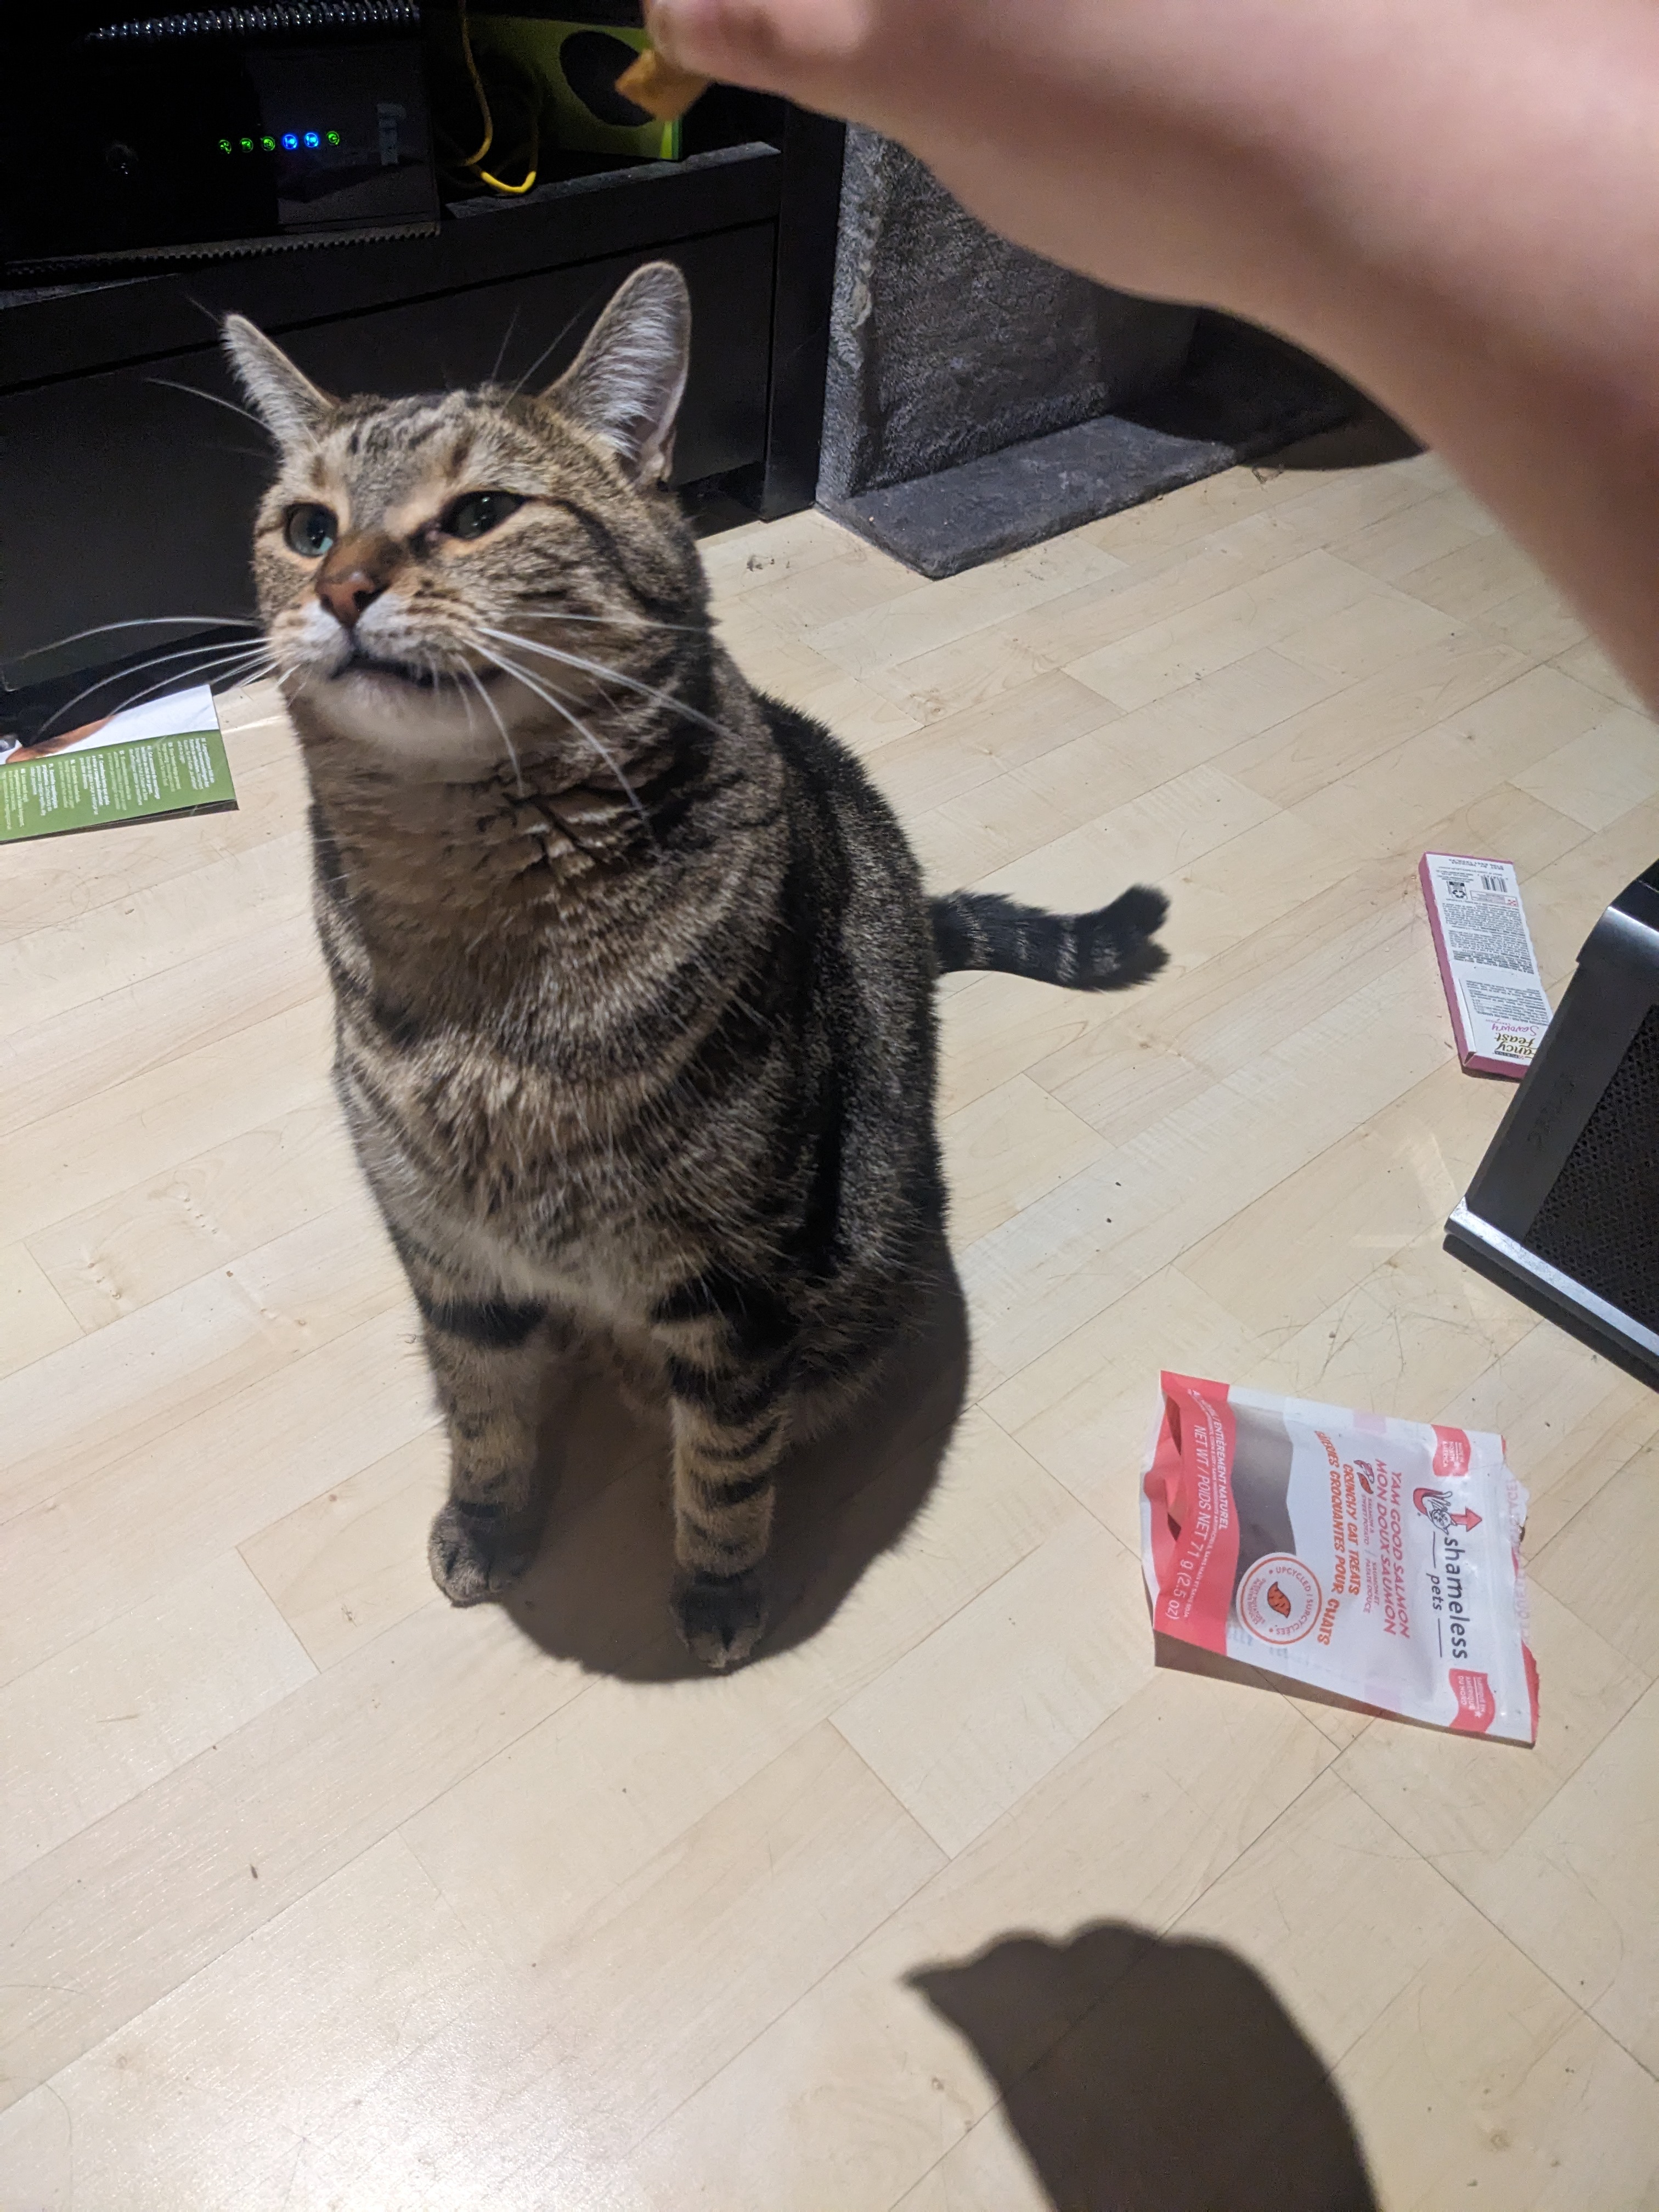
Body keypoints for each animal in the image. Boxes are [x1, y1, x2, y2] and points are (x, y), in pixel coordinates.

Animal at [224, 261, 1168, 1670]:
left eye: (481, 513)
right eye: (305, 526)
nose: (340, 587)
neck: (481, 933)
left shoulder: (740, 1285)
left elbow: (724, 1464)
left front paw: (717, 1597)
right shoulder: (450, 1257)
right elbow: (482, 1410)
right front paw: (487, 1524)